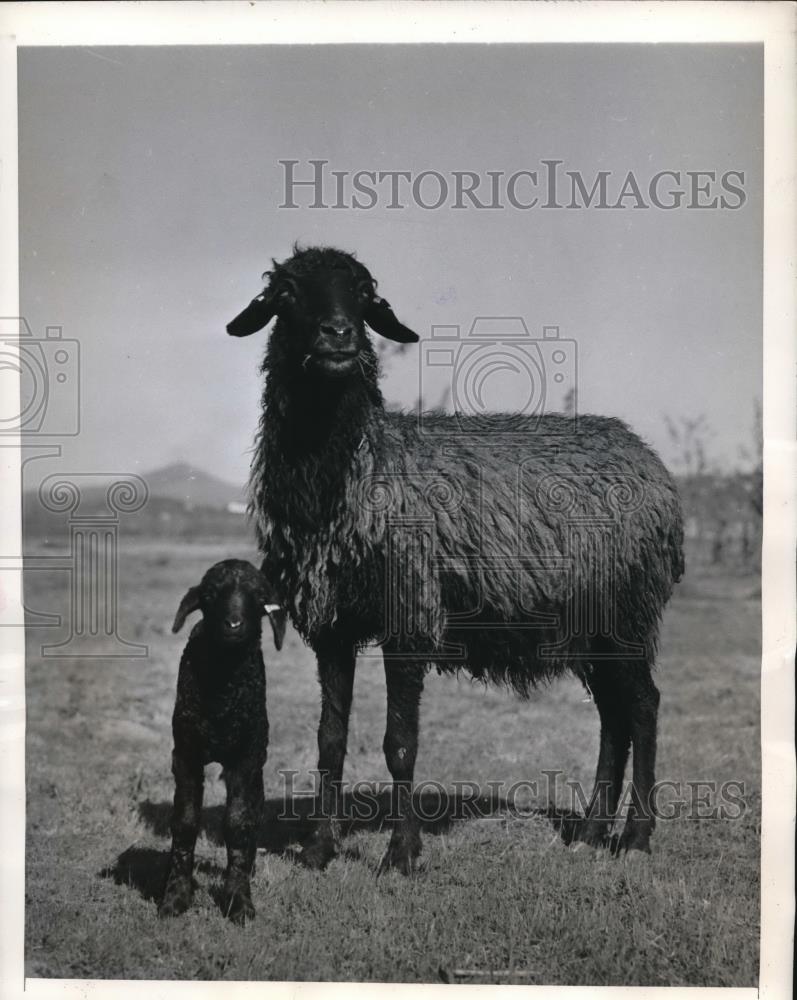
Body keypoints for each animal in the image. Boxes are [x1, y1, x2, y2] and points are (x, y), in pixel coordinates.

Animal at [159, 560, 286, 916]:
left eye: (259, 597)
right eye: (211, 594)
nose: (233, 624)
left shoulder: (245, 759)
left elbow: (239, 823)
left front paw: (238, 899)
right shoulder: (186, 754)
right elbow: (185, 822)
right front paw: (175, 895)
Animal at [227, 244, 680, 876]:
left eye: (364, 294)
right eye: (286, 293)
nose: (339, 335)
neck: (353, 470)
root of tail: (649, 458)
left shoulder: (410, 615)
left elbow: (399, 744)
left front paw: (401, 854)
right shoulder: (333, 625)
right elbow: (329, 738)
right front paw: (318, 849)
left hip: (626, 613)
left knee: (642, 707)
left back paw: (635, 837)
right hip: (591, 628)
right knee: (613, 716)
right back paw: (592, 832)